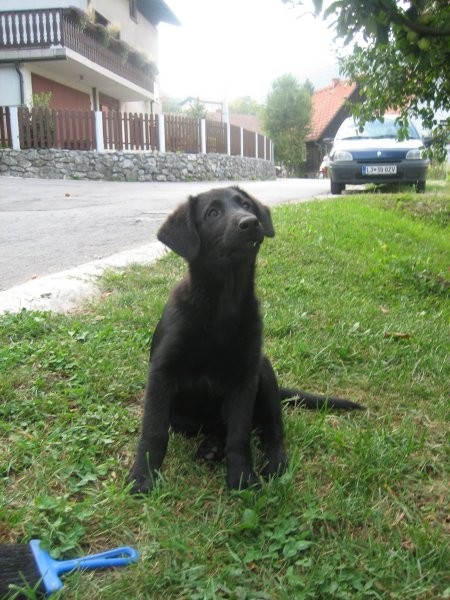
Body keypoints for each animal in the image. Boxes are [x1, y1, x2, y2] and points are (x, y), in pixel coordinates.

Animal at [127, 186, 362, 492]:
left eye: (246, 205)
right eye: (212, 213)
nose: (250, 222)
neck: (221, 305)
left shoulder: (244, 378)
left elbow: (240, 435)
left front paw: (241, 478)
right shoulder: (162, 372)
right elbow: (154, 431)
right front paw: (142, 476)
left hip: (264, 371)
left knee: (271, 429)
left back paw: (273, 461)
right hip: (183, 417)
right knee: (218, 428)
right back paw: (212, 447)